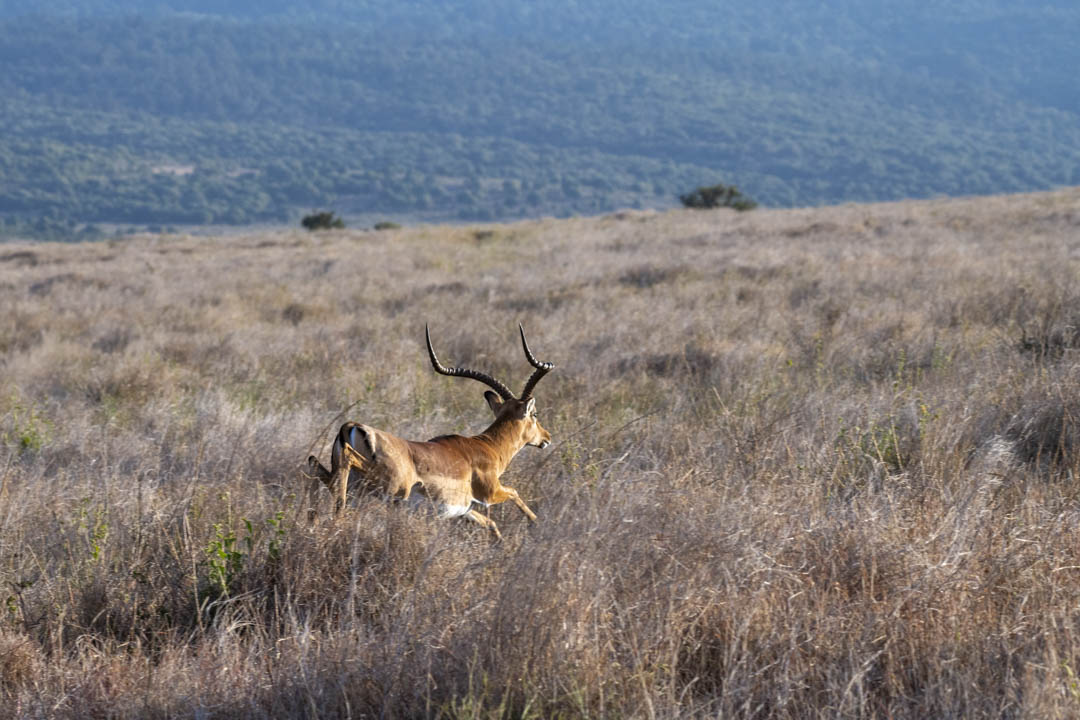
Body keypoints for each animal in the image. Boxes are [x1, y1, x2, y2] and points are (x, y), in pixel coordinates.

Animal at [305, 324, 554, 539]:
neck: (488, 447)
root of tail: (352, 426)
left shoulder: (464, 510)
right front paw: (536, 522)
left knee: (314, 465)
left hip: (358, 482)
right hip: (392, 486)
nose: (547, 438)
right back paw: (334, 518)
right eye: (535, 414)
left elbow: (491, 524)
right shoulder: (490, 493)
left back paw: (313, 522)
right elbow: (514, 492)